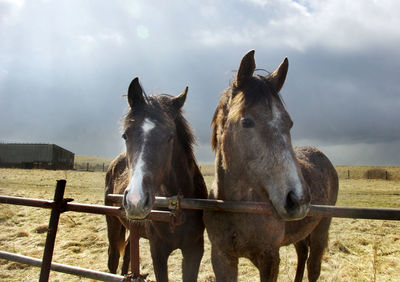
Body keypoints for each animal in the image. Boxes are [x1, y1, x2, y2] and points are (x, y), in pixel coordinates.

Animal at [104, 77, 208, 282]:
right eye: (125, 135)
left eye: (170, 136)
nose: (135, 202)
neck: (177, 206)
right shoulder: (158, 252)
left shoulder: (194, 249)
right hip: (112, 223)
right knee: (113, 259)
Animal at [205, 51, 340, 282]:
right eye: (246, 122)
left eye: (289, 123)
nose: (298, 199)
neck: (236, 206)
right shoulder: (222, 257)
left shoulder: (269, 258)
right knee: (302, 253)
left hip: (321, 229)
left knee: (313, 267)